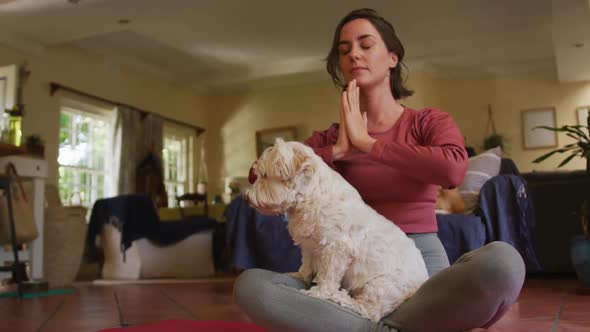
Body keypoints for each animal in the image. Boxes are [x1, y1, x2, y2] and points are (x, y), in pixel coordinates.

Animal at [245, 138, 430, 322]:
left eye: (265, 175)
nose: (246, 197)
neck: (311, 198)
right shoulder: (309, 246)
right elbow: (306, 264)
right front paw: (299, 275)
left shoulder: (336, 248)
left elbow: (328, 274)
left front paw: (320, 292)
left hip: (381, 286)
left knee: (370, 311)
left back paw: (341, 298)